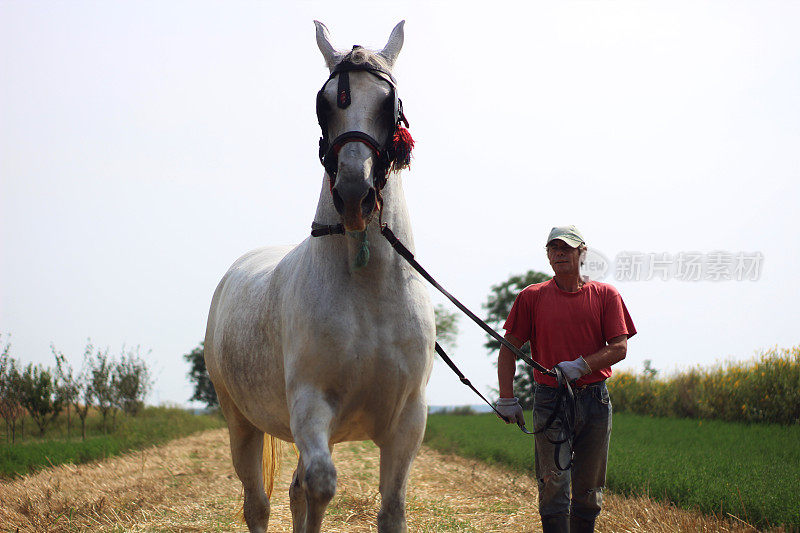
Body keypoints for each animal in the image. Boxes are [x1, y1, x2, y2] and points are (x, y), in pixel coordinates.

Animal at [203, 20, 434, 532]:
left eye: (388, 103)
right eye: (325, 103)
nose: (353, 194)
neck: (368, 295)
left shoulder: (407, 421)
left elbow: (391, 508)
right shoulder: (310, 407)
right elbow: (322, 486)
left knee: (293, 492)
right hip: (241, 424)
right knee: (259, 503)